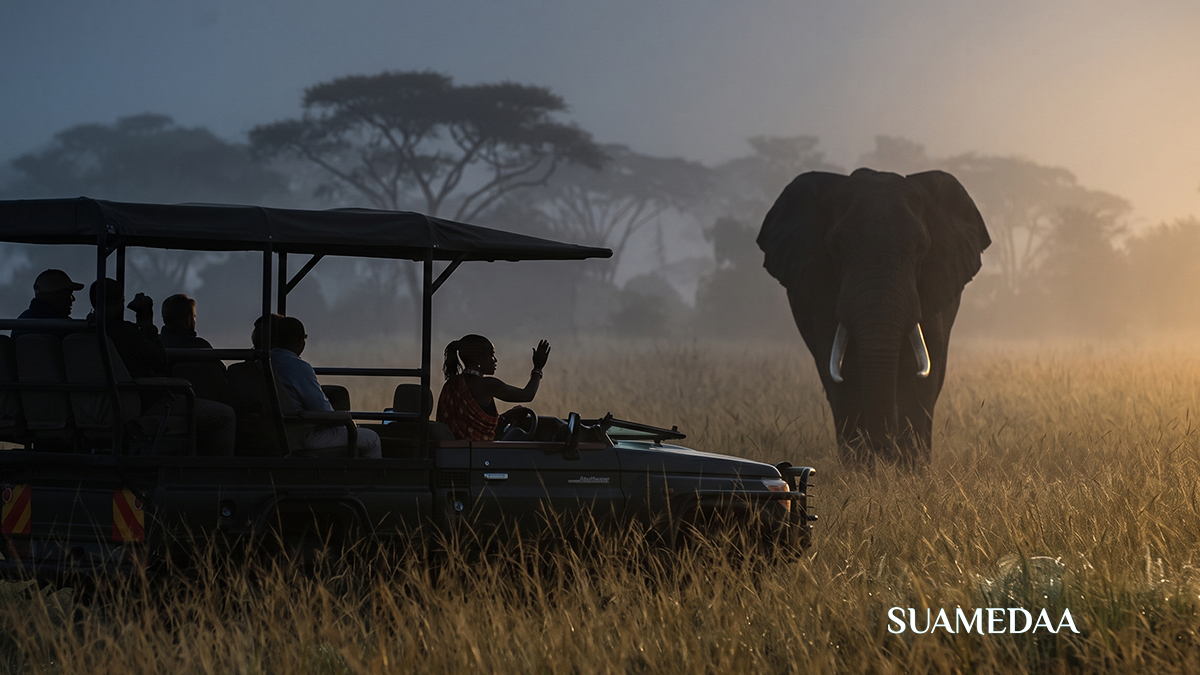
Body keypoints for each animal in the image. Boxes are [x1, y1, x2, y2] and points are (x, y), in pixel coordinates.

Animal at [756, 168, 990, 465]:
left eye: (921, 247)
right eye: (836, 247)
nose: (884, 449)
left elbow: (923, 373)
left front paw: (909, 468)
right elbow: (843, 375)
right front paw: (863, 468)